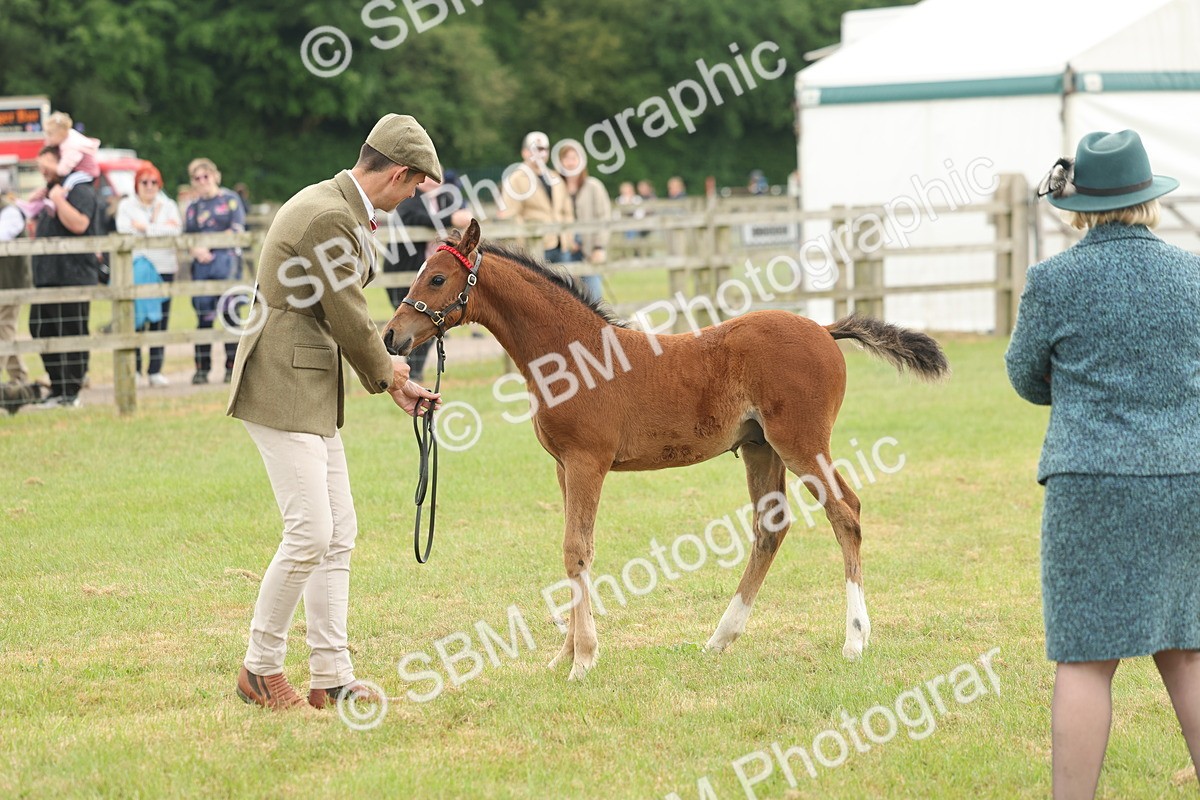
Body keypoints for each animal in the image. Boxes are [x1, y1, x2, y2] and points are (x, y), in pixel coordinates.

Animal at [382, 220, 949, 681]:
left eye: (437, 279)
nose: (391, 336)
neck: (572, 356)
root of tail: (825, 330)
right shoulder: (564, 467)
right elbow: (572, 553)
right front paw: (564, 655)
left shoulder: (588, 462)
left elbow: (577, 549)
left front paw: (583, 659)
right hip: (761, 448)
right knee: (770, 529)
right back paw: (720, 638)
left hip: (801, 443)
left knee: (845, 512)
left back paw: (854, 638)